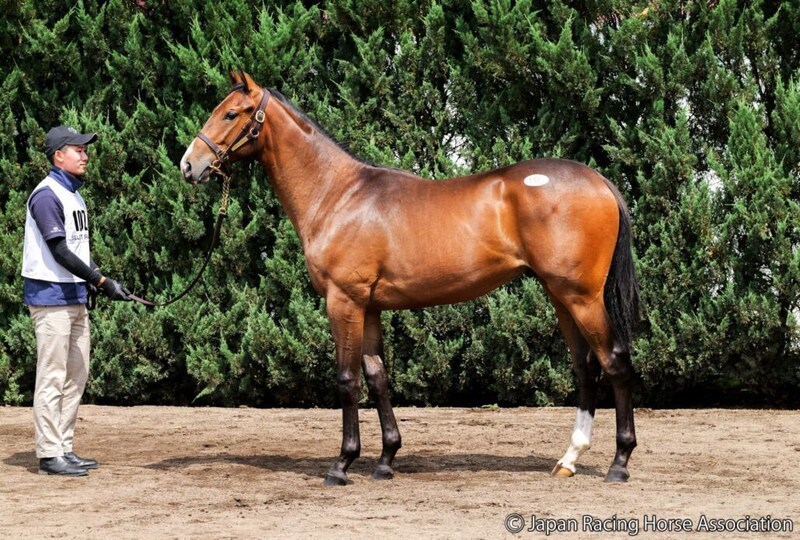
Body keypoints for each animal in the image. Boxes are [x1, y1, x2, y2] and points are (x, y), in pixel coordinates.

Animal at [180, 71, 641, 485]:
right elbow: (378, 378)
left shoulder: (343, 301)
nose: (189, 165)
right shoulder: (368, 308)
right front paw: (386, 460)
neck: (338, 195)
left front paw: (341, 465)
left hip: (581, 296)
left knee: (614, 361)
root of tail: (599, 181)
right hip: (561, 296)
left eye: (231, 113)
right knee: (586, 367)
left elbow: (347, 380)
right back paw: (569, 459)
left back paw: (619, 463)